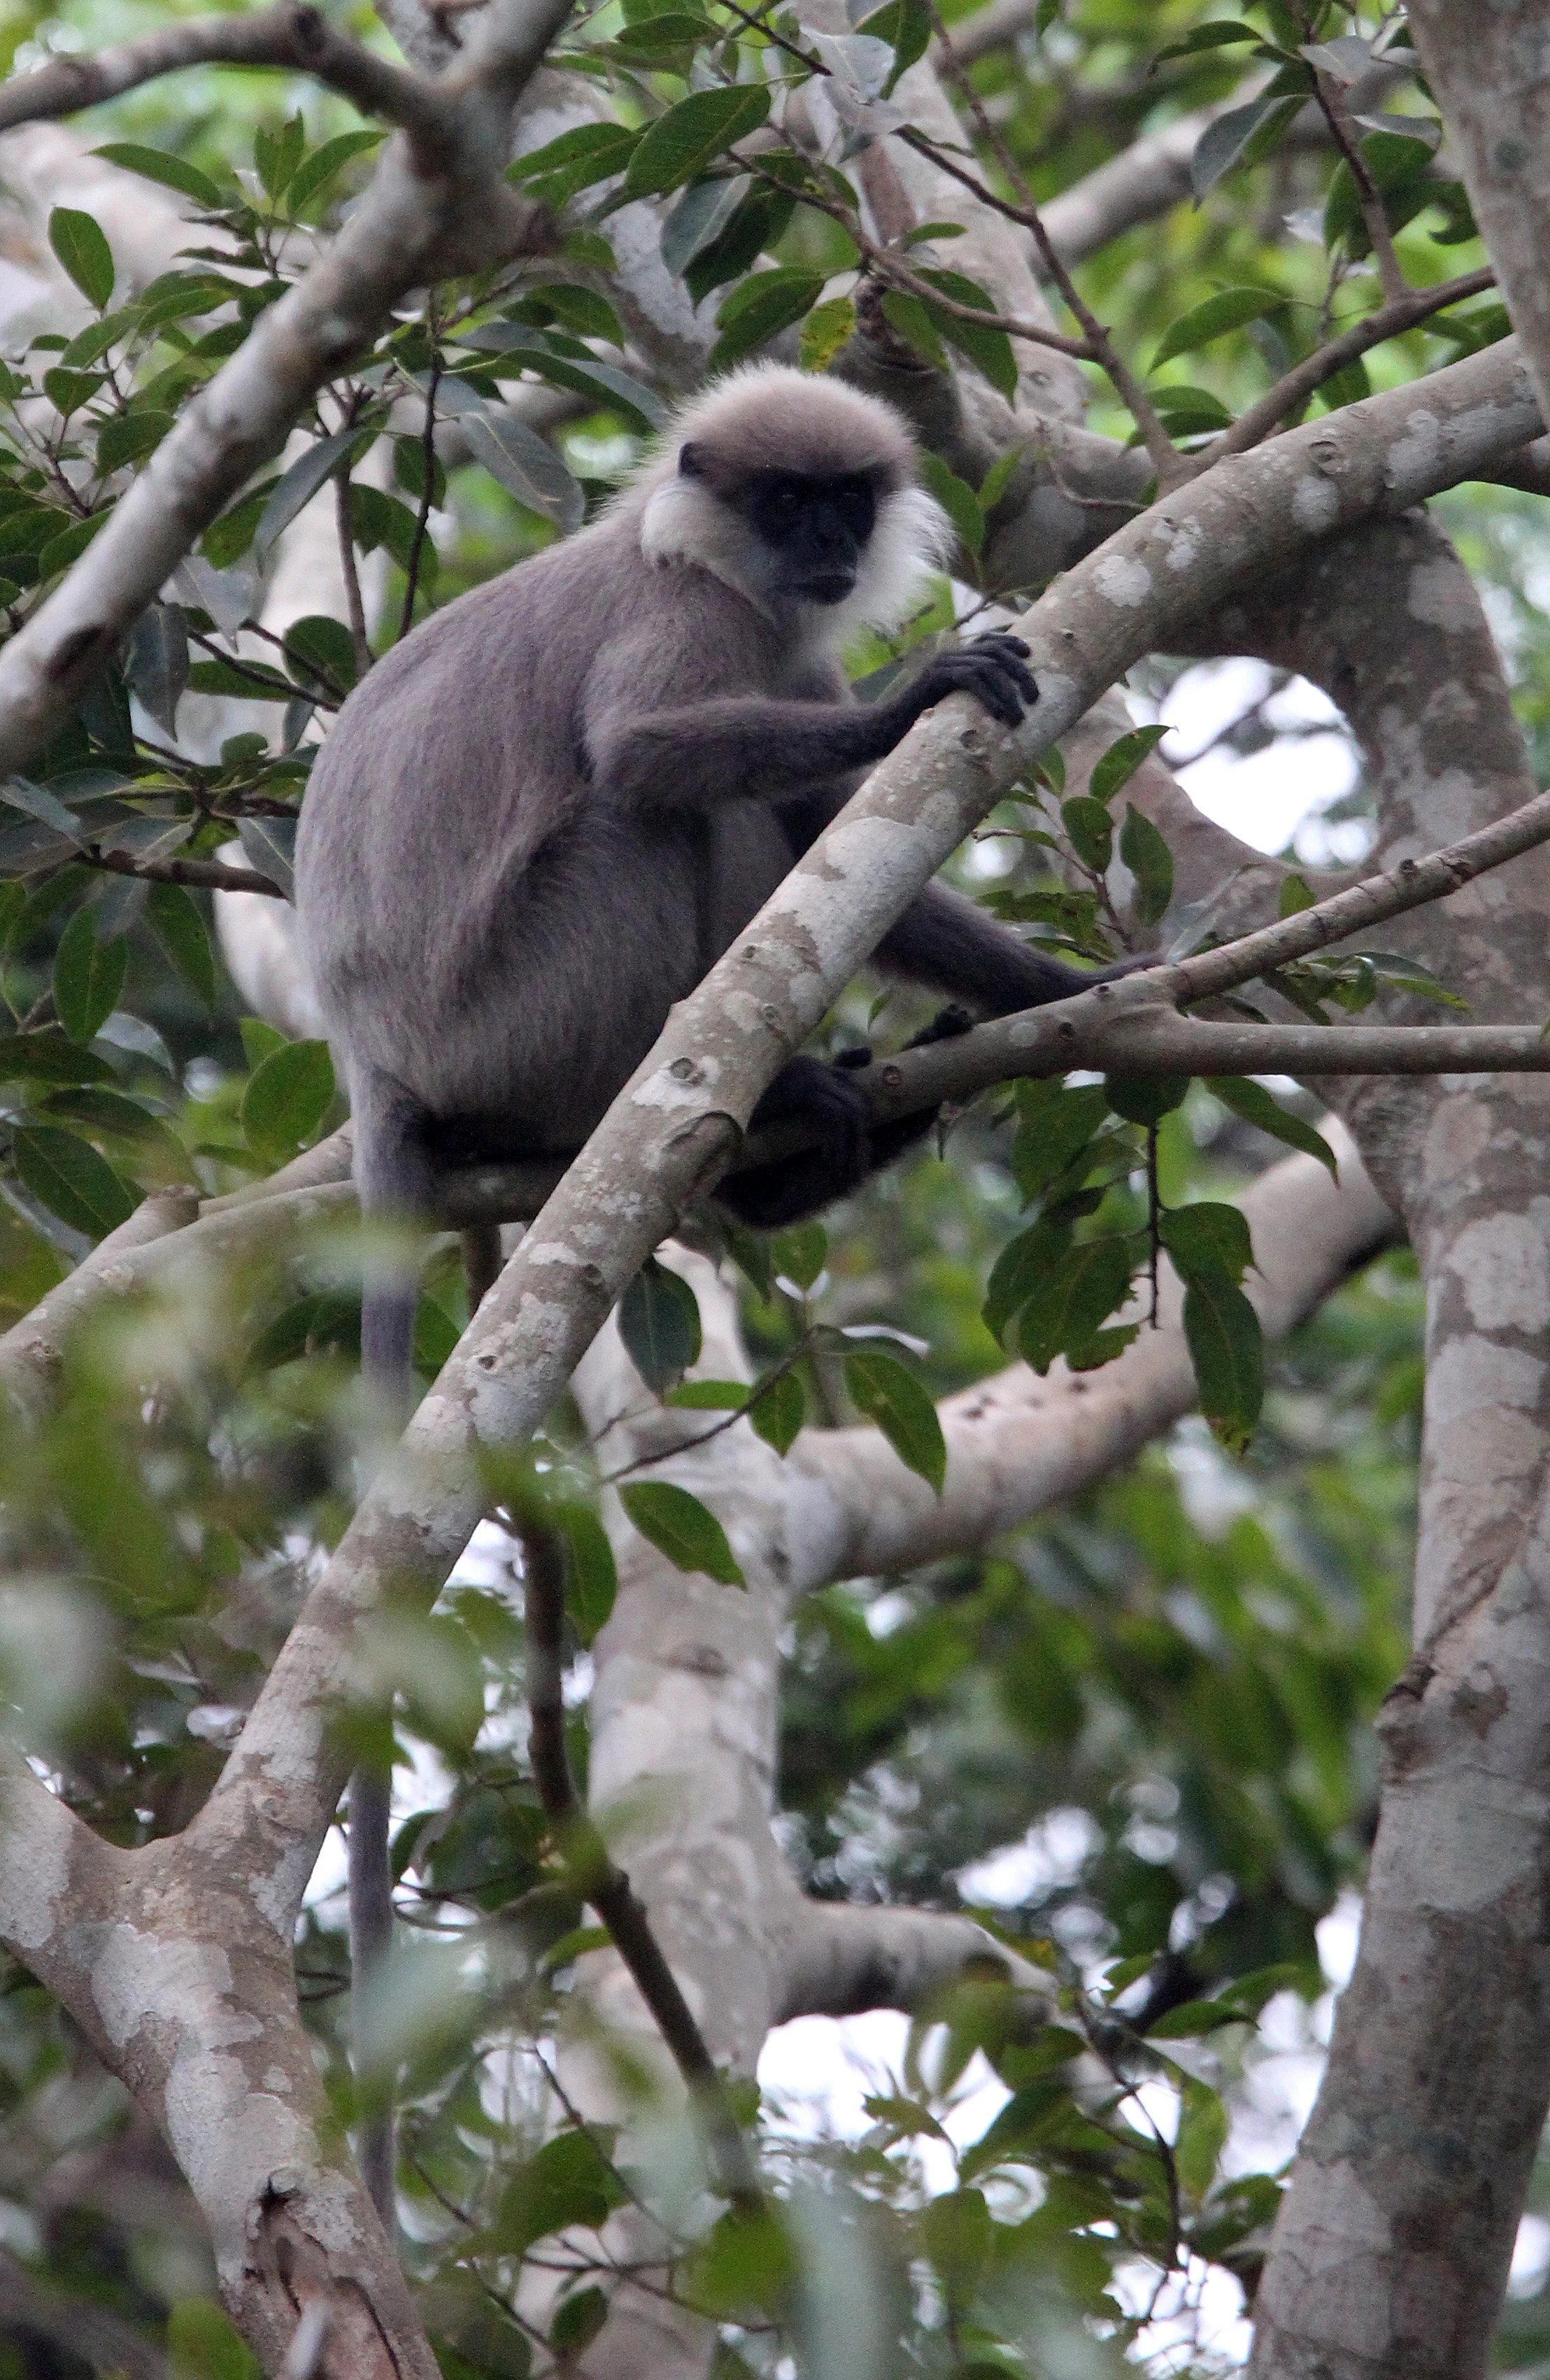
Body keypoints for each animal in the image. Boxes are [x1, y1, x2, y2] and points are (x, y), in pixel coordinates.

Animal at [292, 361, 1140, 2223]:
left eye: (843, 503)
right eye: (783, 503)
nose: (824, 546)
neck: (707, 561)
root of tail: (372, 1057)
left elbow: (852, 845)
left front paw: (1089, 987)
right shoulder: (695, 621)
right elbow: (652, 756)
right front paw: (914, 696)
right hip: (531, 1003)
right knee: (658, 809)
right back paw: (741, 1125)